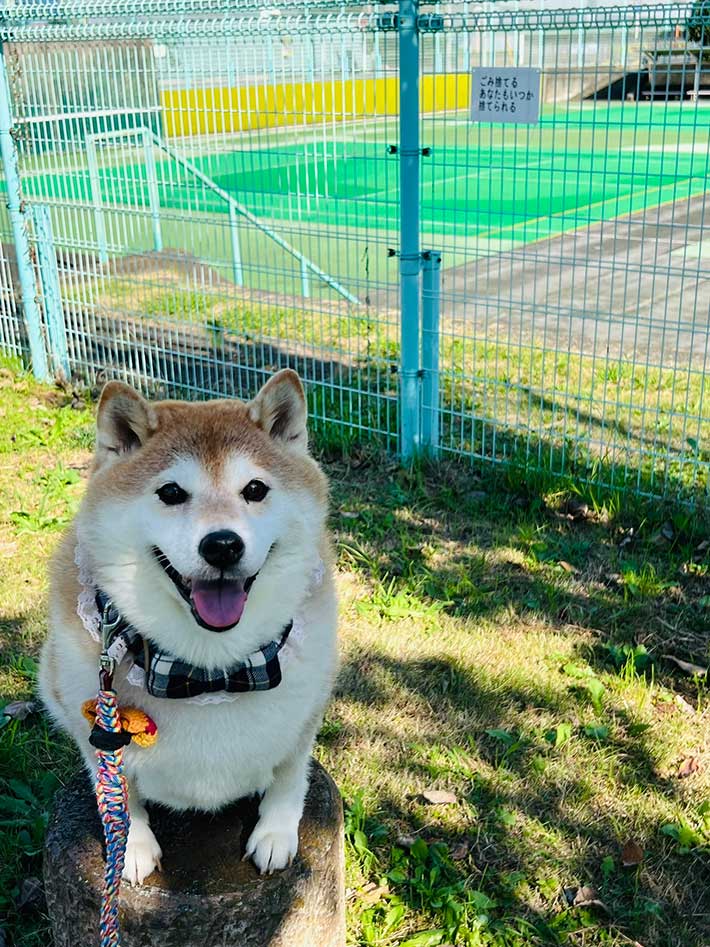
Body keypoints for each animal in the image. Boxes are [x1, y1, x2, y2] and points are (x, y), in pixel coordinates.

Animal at [39, 368, 340, 880]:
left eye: (255, 489)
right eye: (171, 493)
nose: (222, 545)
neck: (208, 673)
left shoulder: (308, 711)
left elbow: (289, 774)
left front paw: (276, 833)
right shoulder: (94, 728)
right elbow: (118, 790)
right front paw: (131, 845)